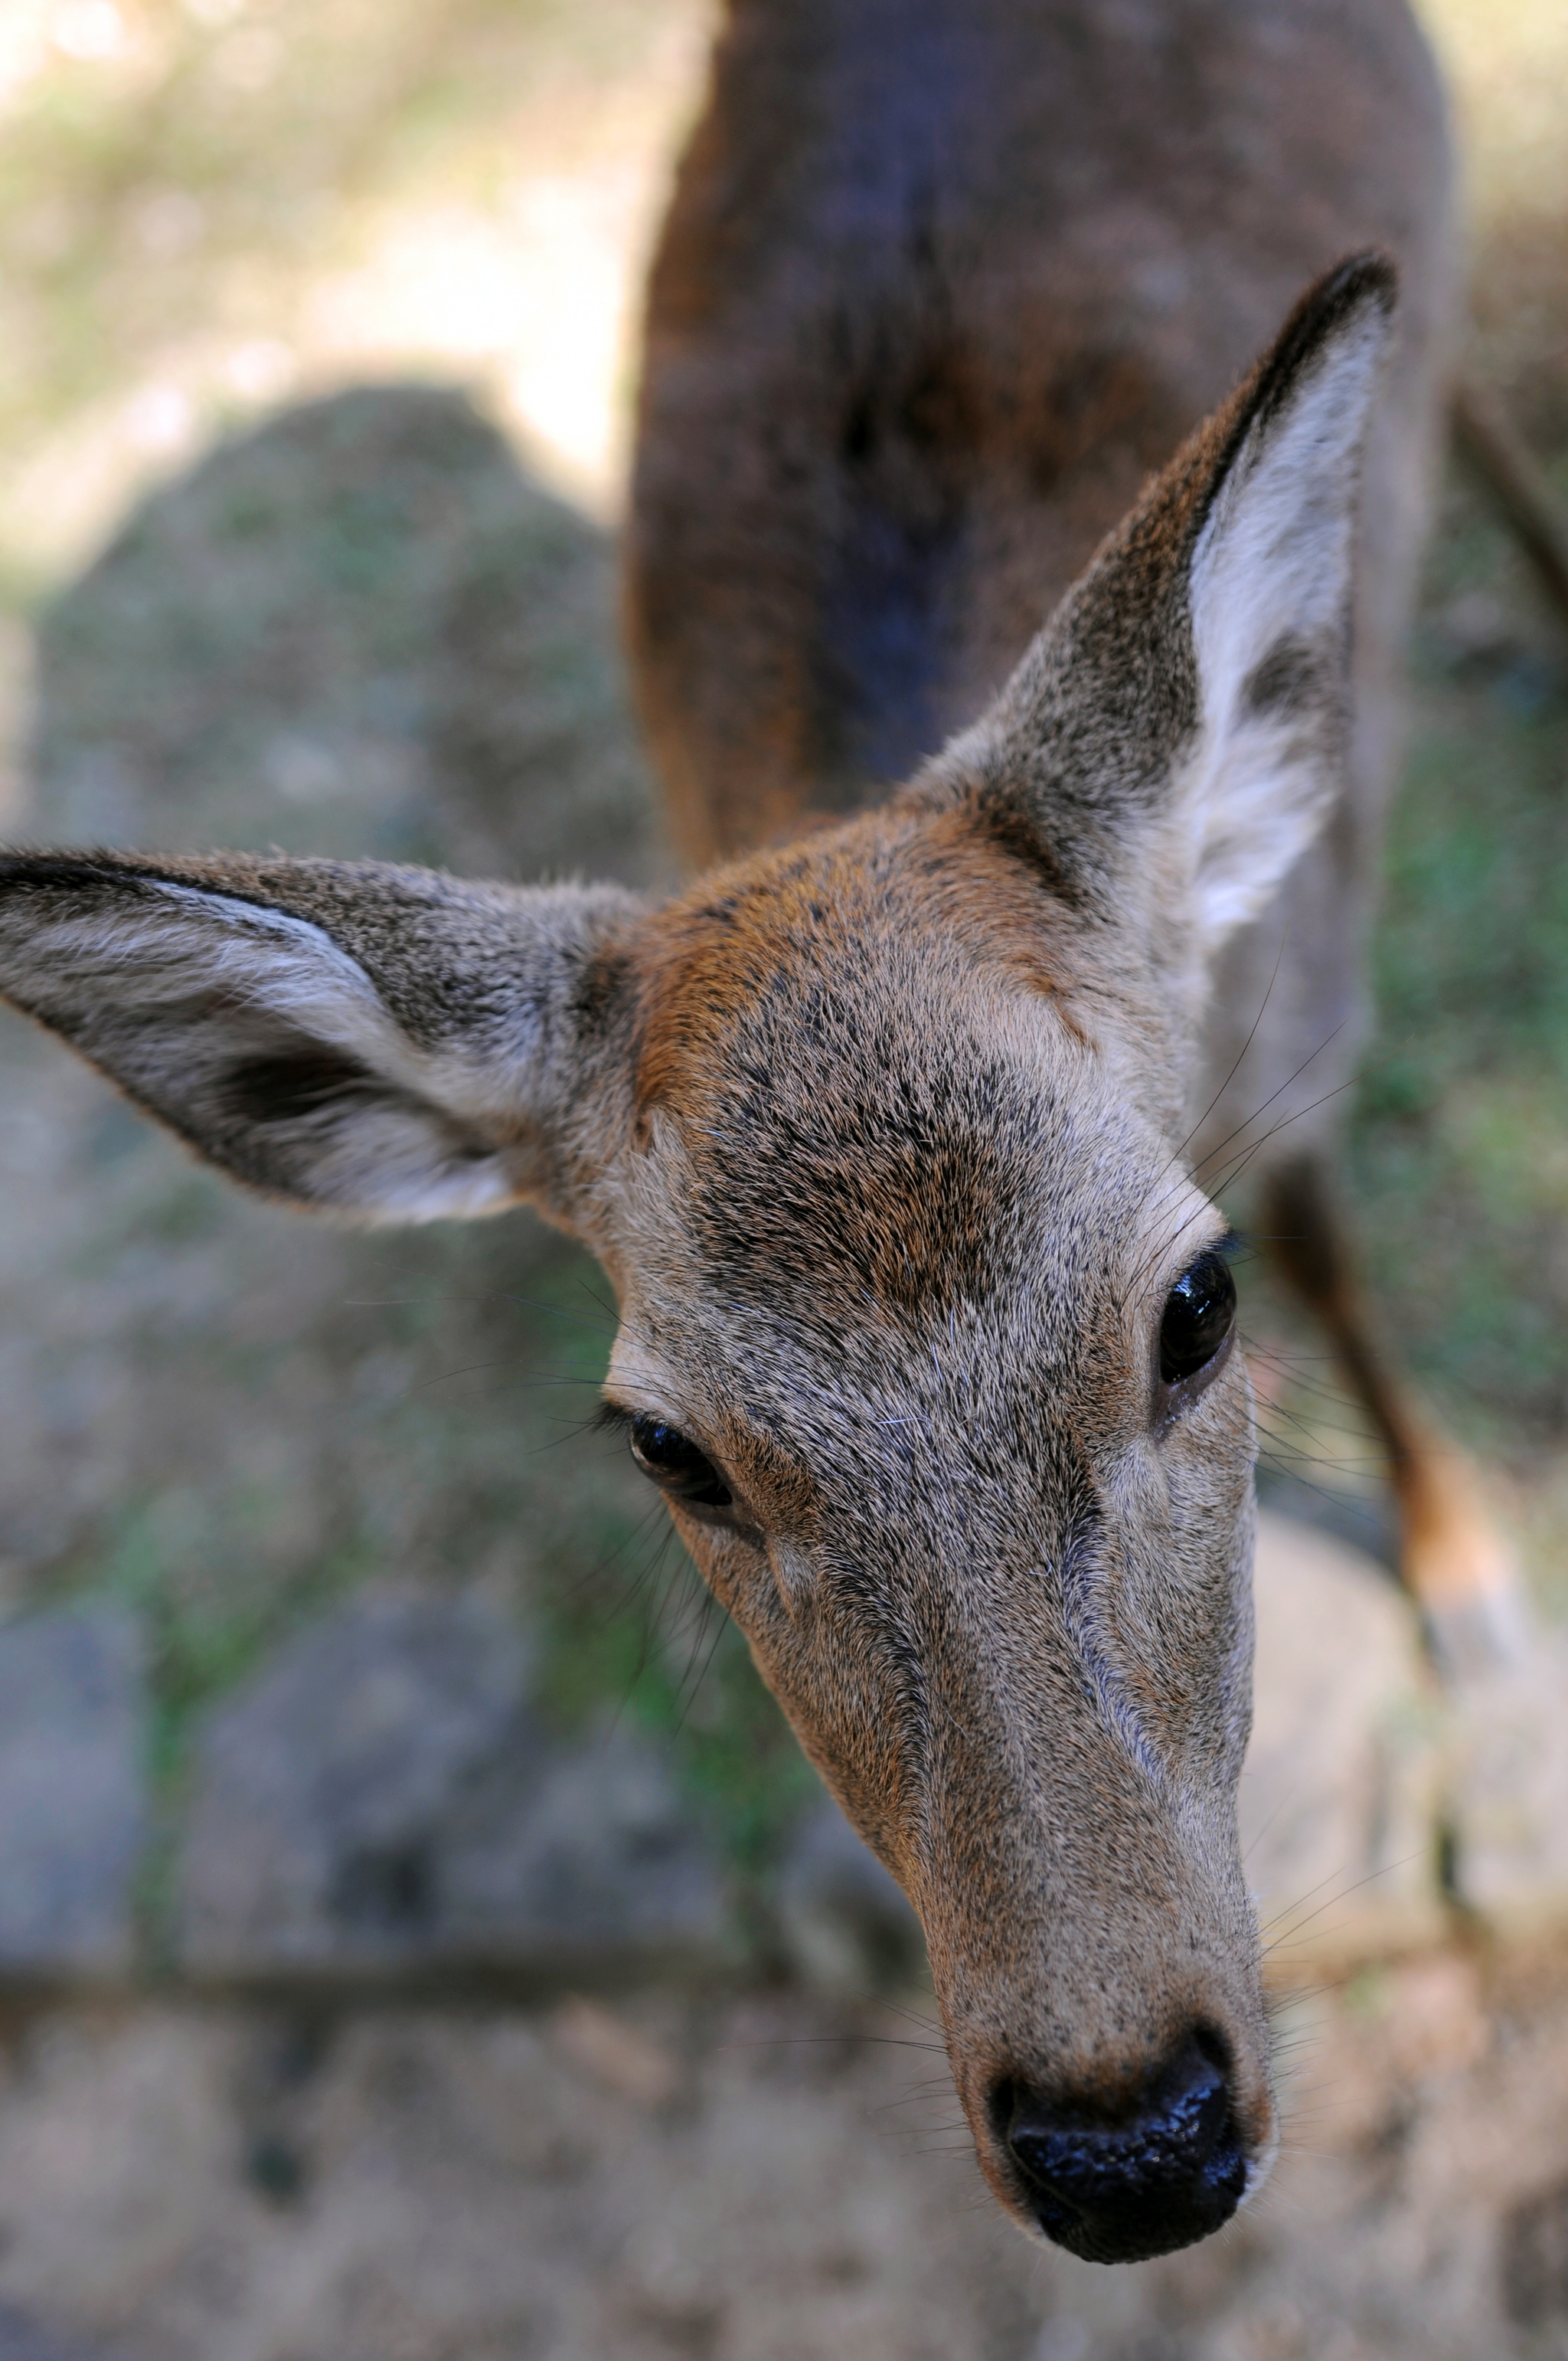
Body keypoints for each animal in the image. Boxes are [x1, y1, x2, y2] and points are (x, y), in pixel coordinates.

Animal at [0, 0, 1511, 2266]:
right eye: (668, 1445)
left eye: (1193, 1303)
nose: (1127, 2136)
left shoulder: (1311, 1028)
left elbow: (1345, 1243)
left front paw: (1481, 1606)